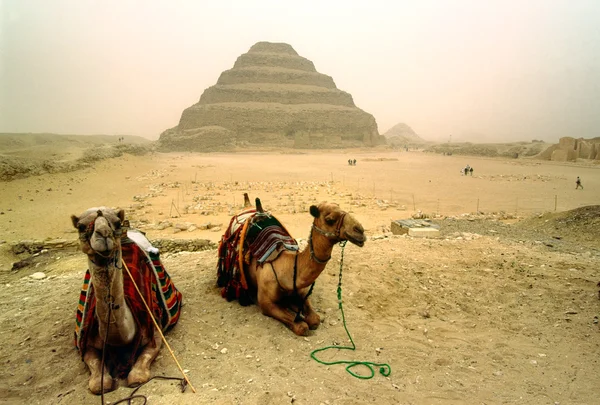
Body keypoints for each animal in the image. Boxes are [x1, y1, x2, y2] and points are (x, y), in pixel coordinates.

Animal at [71, 207, 182, 392]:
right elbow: (98, 383)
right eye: (80, 226)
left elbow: (137, 376)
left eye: (116, 223)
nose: (104, 234)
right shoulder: (86, 344)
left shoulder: (154, 332)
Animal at [217, 196, 366, 334]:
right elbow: (302, 327)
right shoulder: (266, 303)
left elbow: (315, 319)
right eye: (330, 219)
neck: (285, 268)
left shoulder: (301, 292)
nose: (360, 231)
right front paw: (297, 317)